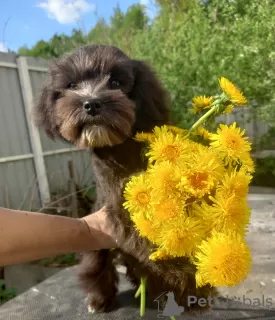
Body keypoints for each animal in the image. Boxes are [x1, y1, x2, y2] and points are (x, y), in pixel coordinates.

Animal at [33, 44, 218, 316]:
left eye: (116, 82)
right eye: (71, 84)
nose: (91, 103)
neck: (120, 153)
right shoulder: (118, 207)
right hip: (97, 245)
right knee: (97, 268)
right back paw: (101, 299)